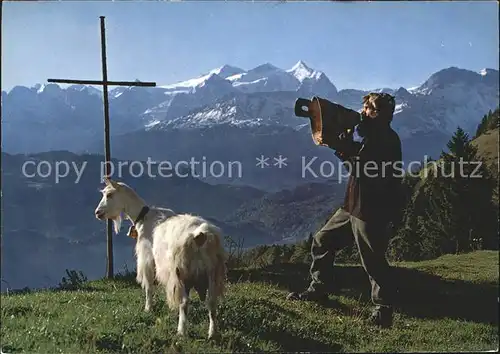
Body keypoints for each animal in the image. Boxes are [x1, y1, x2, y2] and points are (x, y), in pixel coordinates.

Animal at [94, 178, 227, 338]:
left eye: (109, 194)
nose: (97, 213)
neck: (143, 217)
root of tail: (200, 235)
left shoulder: (147, 258)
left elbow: (148, 286)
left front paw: (148, 308)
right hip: (214, 272)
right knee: (211, 302)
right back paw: (213, 333)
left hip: (181, 272)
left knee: (184, 302)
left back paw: (181, 331)